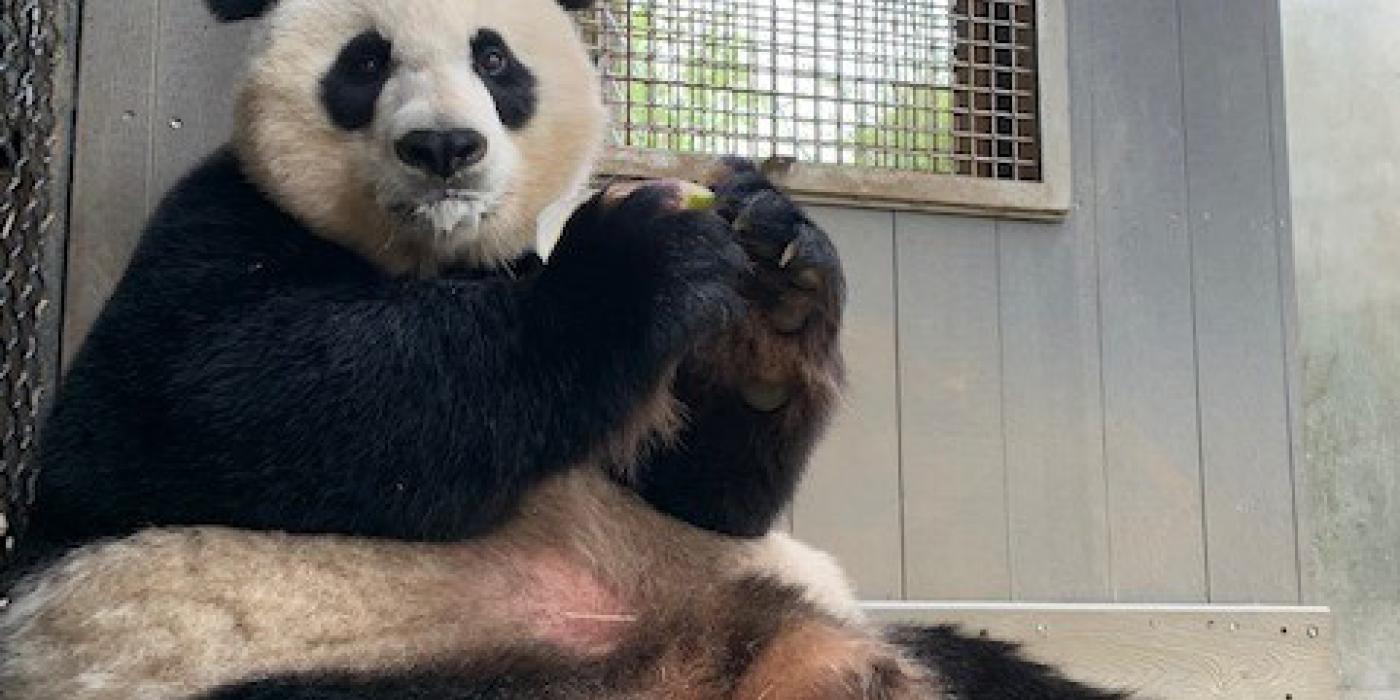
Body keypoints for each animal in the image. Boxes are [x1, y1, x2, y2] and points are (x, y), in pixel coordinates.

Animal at [0, 0, 1125, 697]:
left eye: (494, 58)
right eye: (364, 61)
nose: (442, 149)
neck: (439, 258)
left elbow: (694, 490)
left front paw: (773, 302)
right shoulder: (211, 228)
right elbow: (205, 403)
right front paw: (634, 260)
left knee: (987, 667)